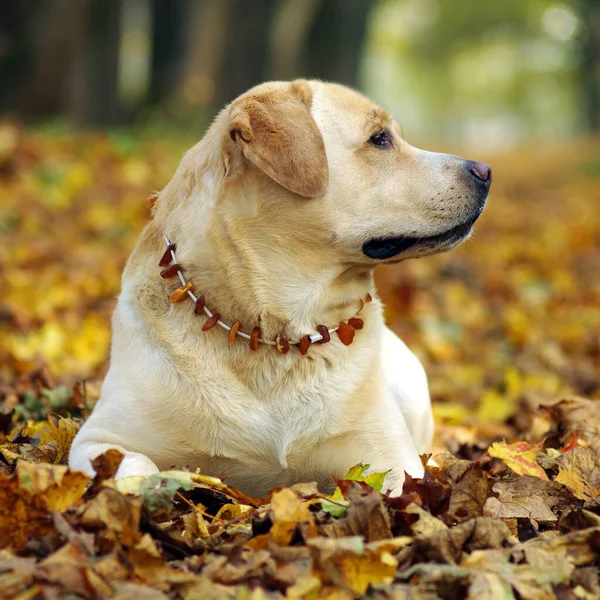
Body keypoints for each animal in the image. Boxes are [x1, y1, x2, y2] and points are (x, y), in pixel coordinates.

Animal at [69, 79, 492, 496]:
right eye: (379, 139)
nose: (486, 171)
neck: (280, 334)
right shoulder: (99, 439)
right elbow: (137, 467)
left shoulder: (391, 458)